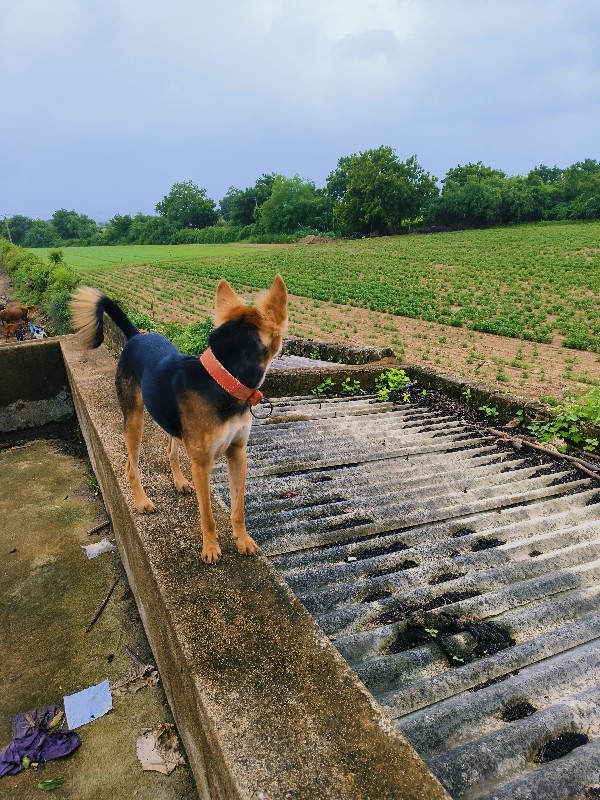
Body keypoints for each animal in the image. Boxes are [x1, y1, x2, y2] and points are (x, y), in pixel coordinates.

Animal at [72, 276, 288, 564]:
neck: (223, 379)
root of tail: (135, 336)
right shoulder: (202, 464)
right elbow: (207, 514)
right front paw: (210, 548)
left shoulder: (238, 452)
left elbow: (238, 506)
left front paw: (243, 540)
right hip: (134, 418)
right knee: (131, 466)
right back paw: (142, 501)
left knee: (170, 450)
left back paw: (179, 481)